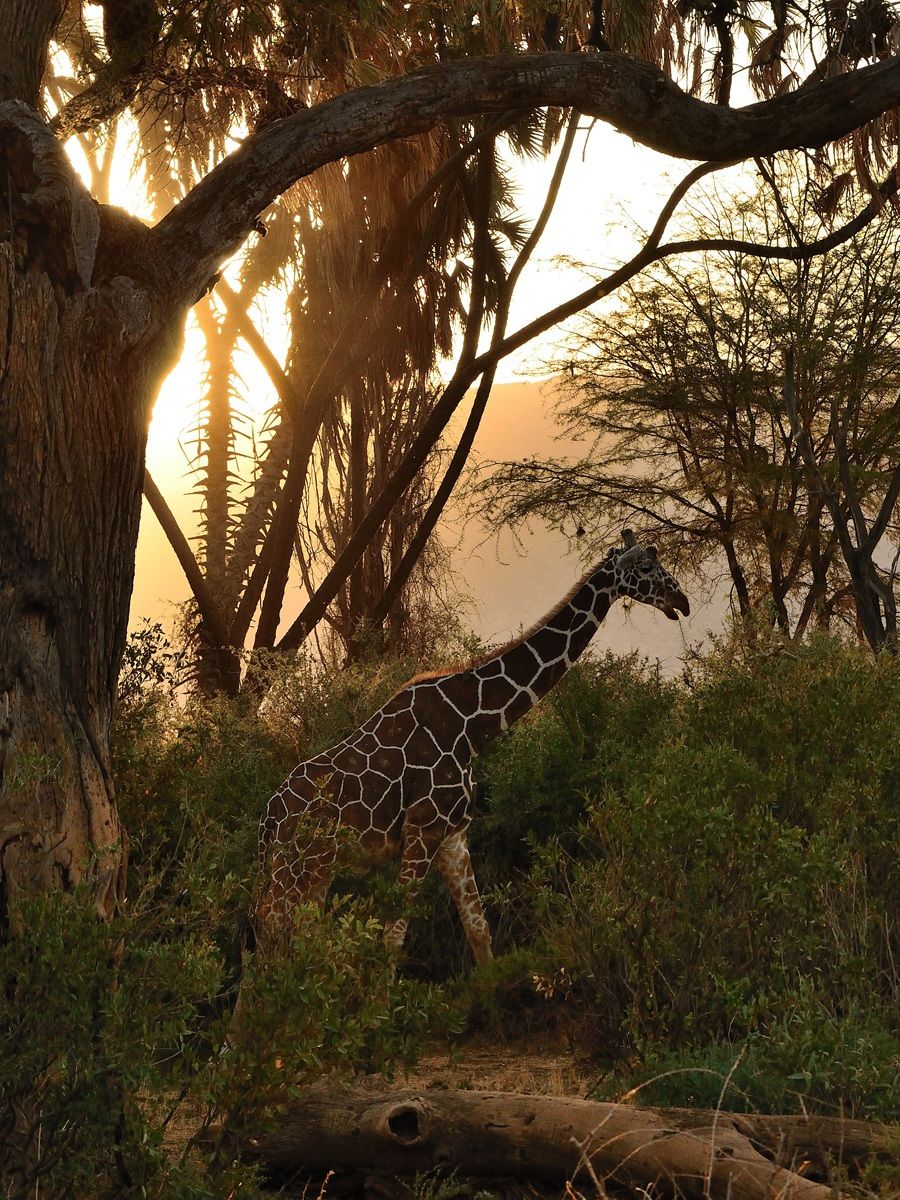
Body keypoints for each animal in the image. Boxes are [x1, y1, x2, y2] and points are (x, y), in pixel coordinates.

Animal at [253, 531, 689, 965]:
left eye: (657, 559)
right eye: (646, 566)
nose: (681, 601)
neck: (472, 725)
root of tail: (268, 818)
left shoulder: (454, 834)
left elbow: (478, 929)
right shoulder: (422, 829)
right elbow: (393, 937)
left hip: (317, 867)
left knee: (296, 933)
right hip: (294, 865)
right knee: (269, 928)